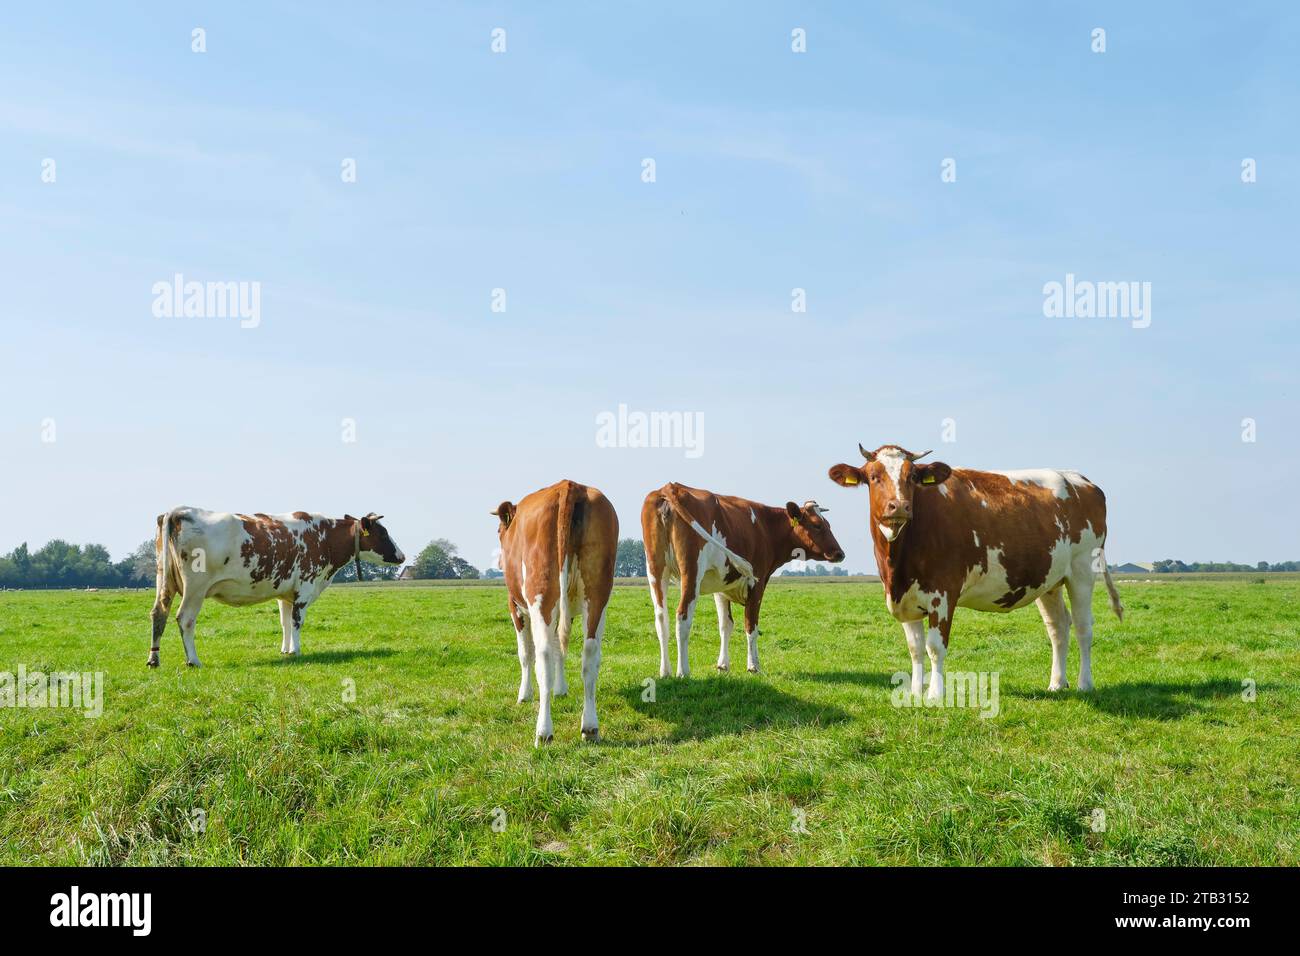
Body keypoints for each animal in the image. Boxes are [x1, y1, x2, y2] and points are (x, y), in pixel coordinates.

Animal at [149, 508, 405, 667]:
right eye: (383, 533)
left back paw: (154, 659)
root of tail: (179, 511)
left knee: (159, 614)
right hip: (196, 588)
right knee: (185, 619)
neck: (325, 537)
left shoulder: (285, 593)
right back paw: (193, 660)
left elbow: (285, 622)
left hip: (164, 580)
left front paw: (285, 649)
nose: (402, 556)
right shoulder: (305, 587)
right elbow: (297, 621)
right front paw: (296, 651)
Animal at [492, 480, 618, 745]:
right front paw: (561, 690)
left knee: (544, 655)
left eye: (499, 531)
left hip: (541, 594)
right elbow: (562, 647)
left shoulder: (515, 607)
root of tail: (570, 486)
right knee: (590, 654)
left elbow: (525, 653)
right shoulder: (566, 611)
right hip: (598, 594)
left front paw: (524, 695)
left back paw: (543, 732)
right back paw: (590, 727)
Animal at [642, 482, 845, 678]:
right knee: (682, 616)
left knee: (661, 618)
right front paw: (753, 666)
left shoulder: (721, 586)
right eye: (817, 525)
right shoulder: (757, 583)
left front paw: (723, 665)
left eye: (828, 524)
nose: (840, 553)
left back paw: (665, 672)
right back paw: (683, 671)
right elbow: (751, 625)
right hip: (691, 572)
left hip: (656, 570)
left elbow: (725, 625)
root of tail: (670, 487)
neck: (766, 527)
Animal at [827, 444, 1123, 700]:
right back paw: (1057, 683)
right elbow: (915, 649)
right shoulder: (905, 597)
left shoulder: (943, 593)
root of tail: (1079, 478)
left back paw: (1085, 684)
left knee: (1084, 627)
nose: (899, 506)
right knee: (1059, 627)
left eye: (911, 476)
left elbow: (934, 647)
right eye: (873, 476)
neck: (897, 566)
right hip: (1050, 580)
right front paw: (915, 693)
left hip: (1083, 570)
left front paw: (935, 695)